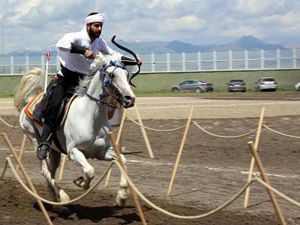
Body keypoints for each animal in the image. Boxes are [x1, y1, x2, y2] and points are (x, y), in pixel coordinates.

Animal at [14, 48, 138, 207]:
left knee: (51, 171)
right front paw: (80, 182)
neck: (90, 117)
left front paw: (122, 196)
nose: (130, 99)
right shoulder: (74, 152)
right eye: (112, 74)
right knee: (44, 170)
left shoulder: (102, 152)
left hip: (55, 151)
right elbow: (90, 171)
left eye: (127, 74)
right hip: (34, 139)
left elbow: (122, 160)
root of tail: (30, 100)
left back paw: (54, 197)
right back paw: (63, 197)